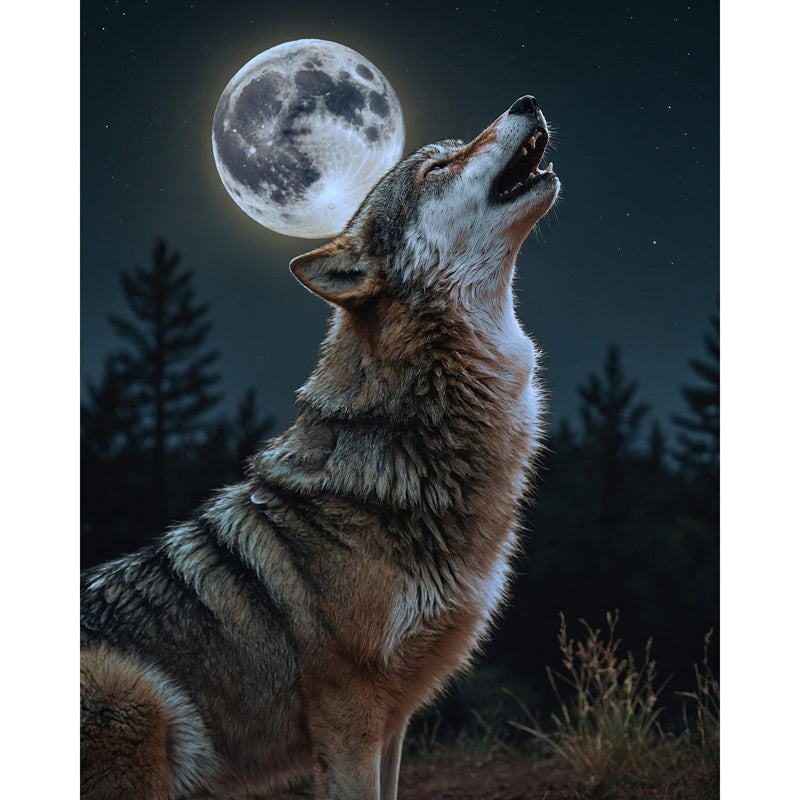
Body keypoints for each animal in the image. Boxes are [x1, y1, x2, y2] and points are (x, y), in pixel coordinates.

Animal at [81, 94, 560, 800]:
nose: (527, 101)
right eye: (438, 167)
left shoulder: (394, 720)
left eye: (453, 148)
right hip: (138, 699)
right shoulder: (348, 715)